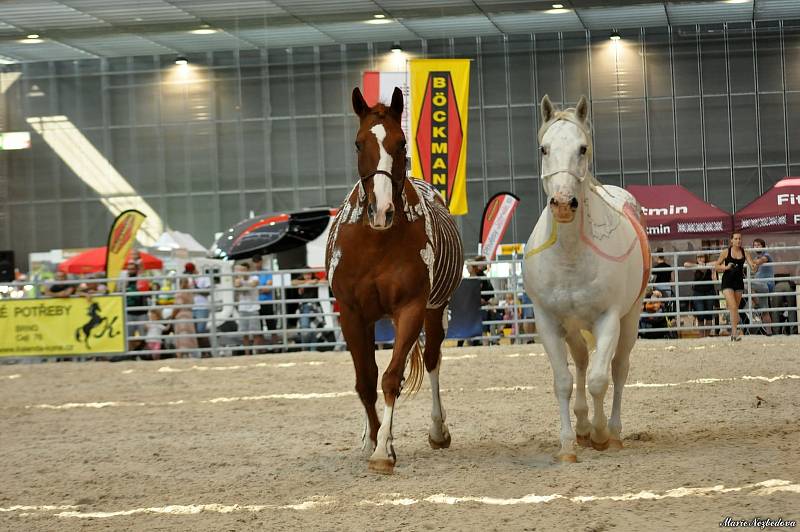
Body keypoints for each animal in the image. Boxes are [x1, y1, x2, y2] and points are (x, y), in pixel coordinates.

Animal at [324, 87, 462, 474]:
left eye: (401, 143)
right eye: (358, 144)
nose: (381, 210)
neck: (376, 241)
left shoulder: (411, 309)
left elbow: (390, 378)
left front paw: (384, 449)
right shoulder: (352, 313)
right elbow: (365, 380)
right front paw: (372, 438)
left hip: (435, 311)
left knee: (431, 360)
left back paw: (437, 430)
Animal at [524, 97, 648, 464]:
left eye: (582, 148)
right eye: (544, 148)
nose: (564, 203)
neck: (570, 254)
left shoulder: (609, 319)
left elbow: (598, 380)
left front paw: (601, 433)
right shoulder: (548, 322)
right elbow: (564, 381)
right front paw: (568, 444)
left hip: (630, 319)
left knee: (618, 369)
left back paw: (613, 432)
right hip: (573, 328)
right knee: (580, 362)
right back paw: (581, 426)